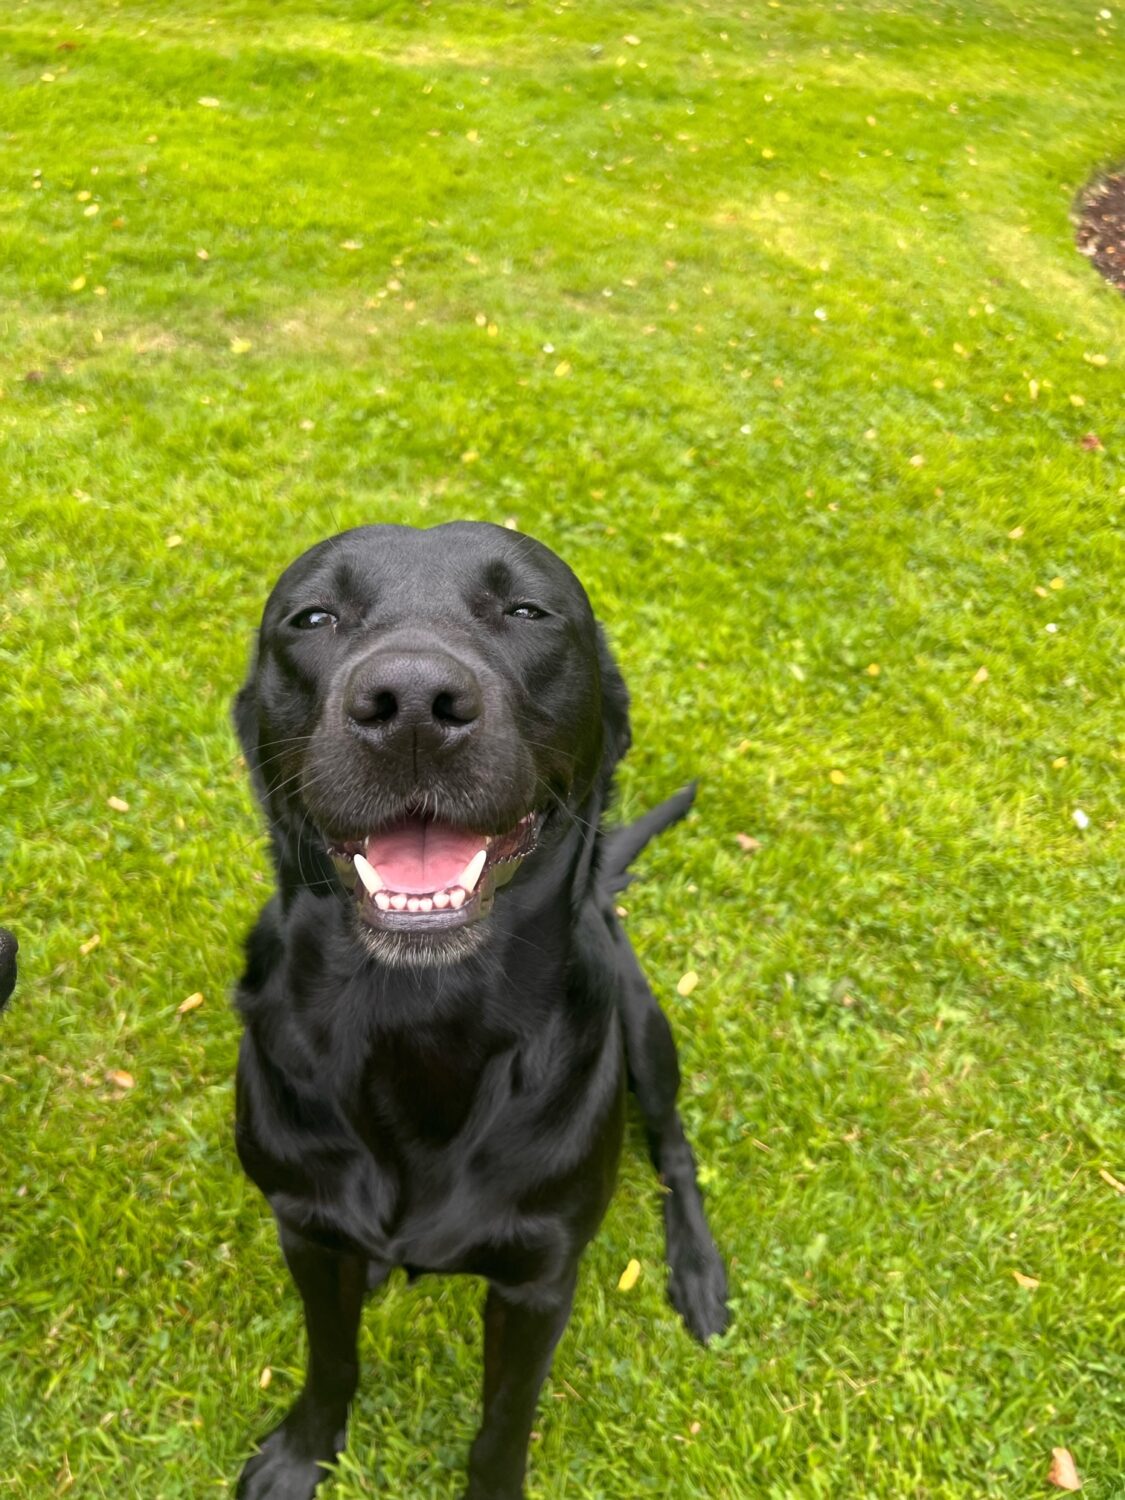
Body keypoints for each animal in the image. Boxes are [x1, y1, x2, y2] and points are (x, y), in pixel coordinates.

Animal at [231, 522, 727, 1499]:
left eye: (527, 611)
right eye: (313, 617)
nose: (412, 705)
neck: (421, 1019)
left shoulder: (537, 1281)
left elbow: (505, 1418)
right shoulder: (303, 1228)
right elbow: (330, 1356)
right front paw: (306, 1453)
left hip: (645, 1027)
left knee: (674, 1149)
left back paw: (696, 1267)